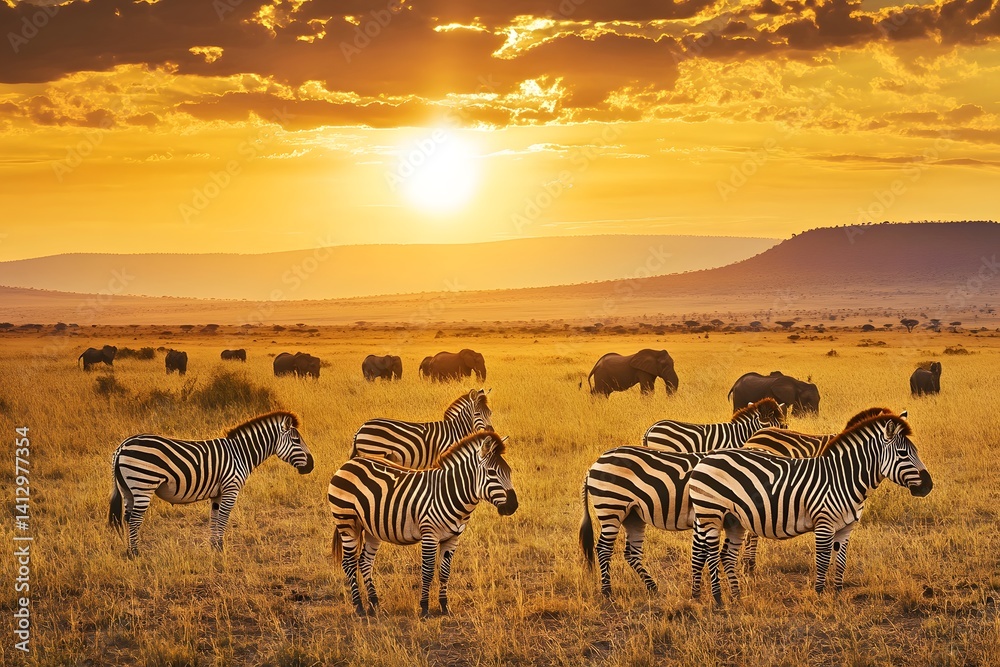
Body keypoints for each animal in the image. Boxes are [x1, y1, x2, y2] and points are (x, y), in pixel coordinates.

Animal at [108, 411, 313, 556]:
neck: (240, 454)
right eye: (296, 440)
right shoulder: (231, 488)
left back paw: (128, 551)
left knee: (127, 518)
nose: (311, 466)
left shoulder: (217, 493)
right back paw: (136, 553)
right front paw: (221, 548)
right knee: (135, 520)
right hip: (143, 484)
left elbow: (214, 518)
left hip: (127, 490)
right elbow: (223, 518)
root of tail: (122, 447)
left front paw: (214, 547)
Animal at [329, 431, 518, 617]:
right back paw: (359, 607)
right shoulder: (430, 535)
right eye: (491, 472)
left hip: (371, 527)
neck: (450, 492)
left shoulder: (453, 538)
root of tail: (349, 463)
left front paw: (444, 607)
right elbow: (427, 572)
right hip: (347, 522)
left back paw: (374, 605)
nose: (513, 506)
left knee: (365, 562)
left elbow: (445, 573)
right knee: (349, 563)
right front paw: (425, 608)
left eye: (509, 471)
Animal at [350, 388, 493, 468]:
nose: (491, 431)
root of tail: (361, 428)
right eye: (477, 414)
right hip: (374, 451)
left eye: (490, 413)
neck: (456, 430)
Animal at [580, 446, 704, 596]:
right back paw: (607, 590)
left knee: (631, 553)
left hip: (632, 515)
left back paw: (652, 586)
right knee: (604, 548)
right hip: (611, 507)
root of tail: (594, 464)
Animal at [688, 411, 933, 605]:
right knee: (710, 554)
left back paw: (737, 596)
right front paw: (819, 595)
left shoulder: (846, 528)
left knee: (727, 556)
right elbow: (823, 561)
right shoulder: (824, 523)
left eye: (916, 451)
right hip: (711, 514)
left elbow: (841, 562)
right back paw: (718, 598)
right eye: (903, 454)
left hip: (734, 520)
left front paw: (837, 595)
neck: (843, 478)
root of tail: (706, 458)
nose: (929, 486)